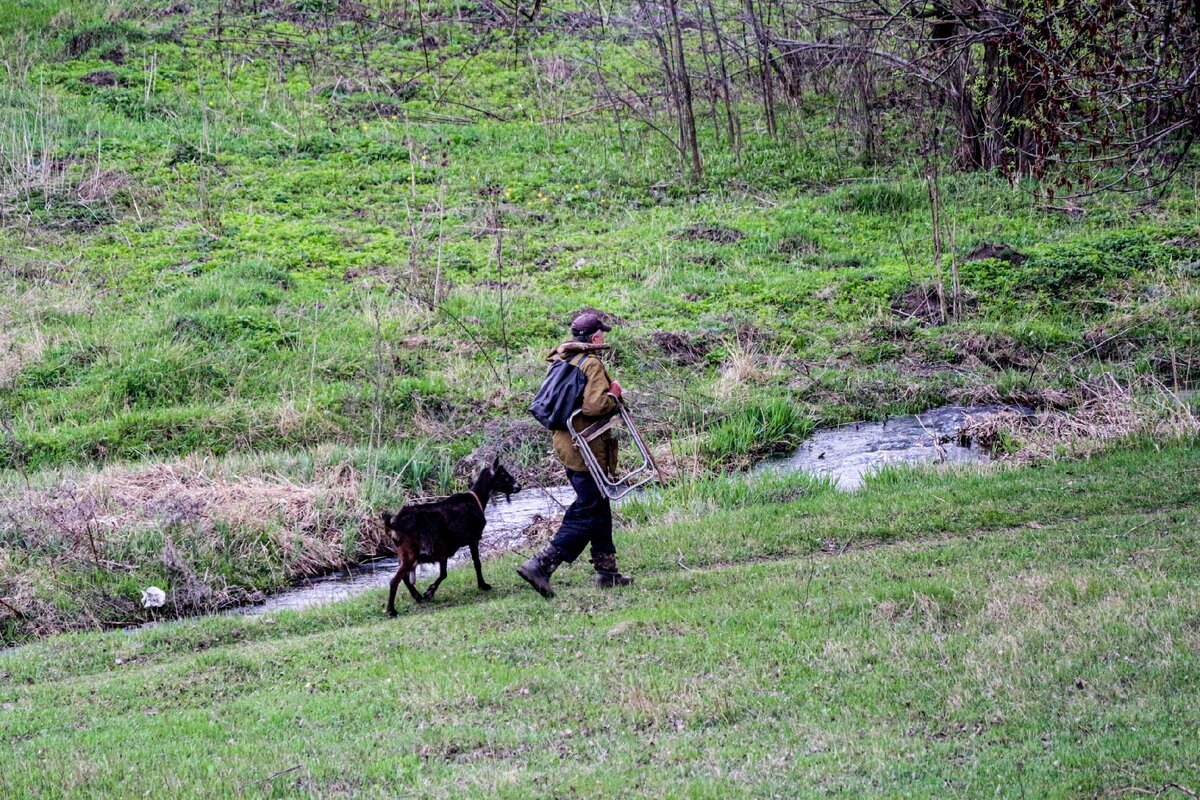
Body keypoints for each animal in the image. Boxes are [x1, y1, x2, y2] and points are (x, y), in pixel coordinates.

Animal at [379, 455, 520, 614]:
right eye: (503, 475)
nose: (519, 486)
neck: (477, 499)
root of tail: (393, 523)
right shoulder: (472, 539)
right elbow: (476, 563)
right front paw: (483, 585)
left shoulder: (444, 550)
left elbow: (444, 573)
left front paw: (428, 592)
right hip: (409, 552)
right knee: (395, 580)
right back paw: (391, 610)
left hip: (403, 553)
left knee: (404, 578)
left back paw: (417, 597)